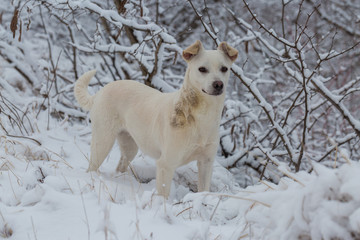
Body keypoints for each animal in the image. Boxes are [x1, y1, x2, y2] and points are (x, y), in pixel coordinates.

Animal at [74, 40, 238, 198]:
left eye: (224, 69)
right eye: (202, 69)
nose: (218, 84)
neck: (202, 116)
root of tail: (100, 92)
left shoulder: (206, 162)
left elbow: (204, 190)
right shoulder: (166, 164)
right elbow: (163, 195)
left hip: (130, 146)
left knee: (120, 165)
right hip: (103, 141)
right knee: (92, 166)